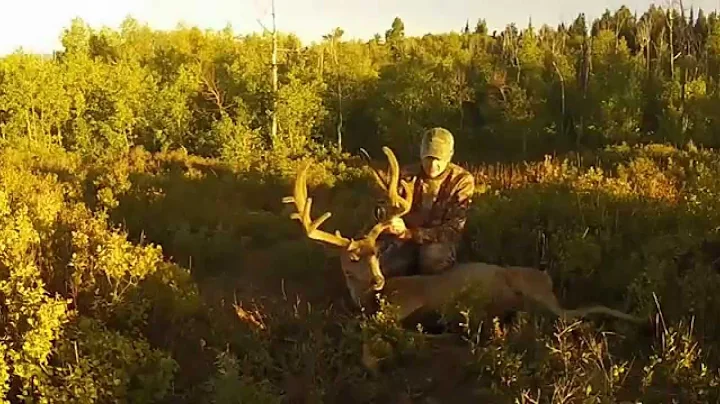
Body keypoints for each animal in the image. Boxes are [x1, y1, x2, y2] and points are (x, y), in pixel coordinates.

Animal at [282, 146, 645, 332]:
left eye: (376, 254)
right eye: (354, 259)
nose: (378, 280)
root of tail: (546, 276)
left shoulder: (405, 303)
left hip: (538, 291)